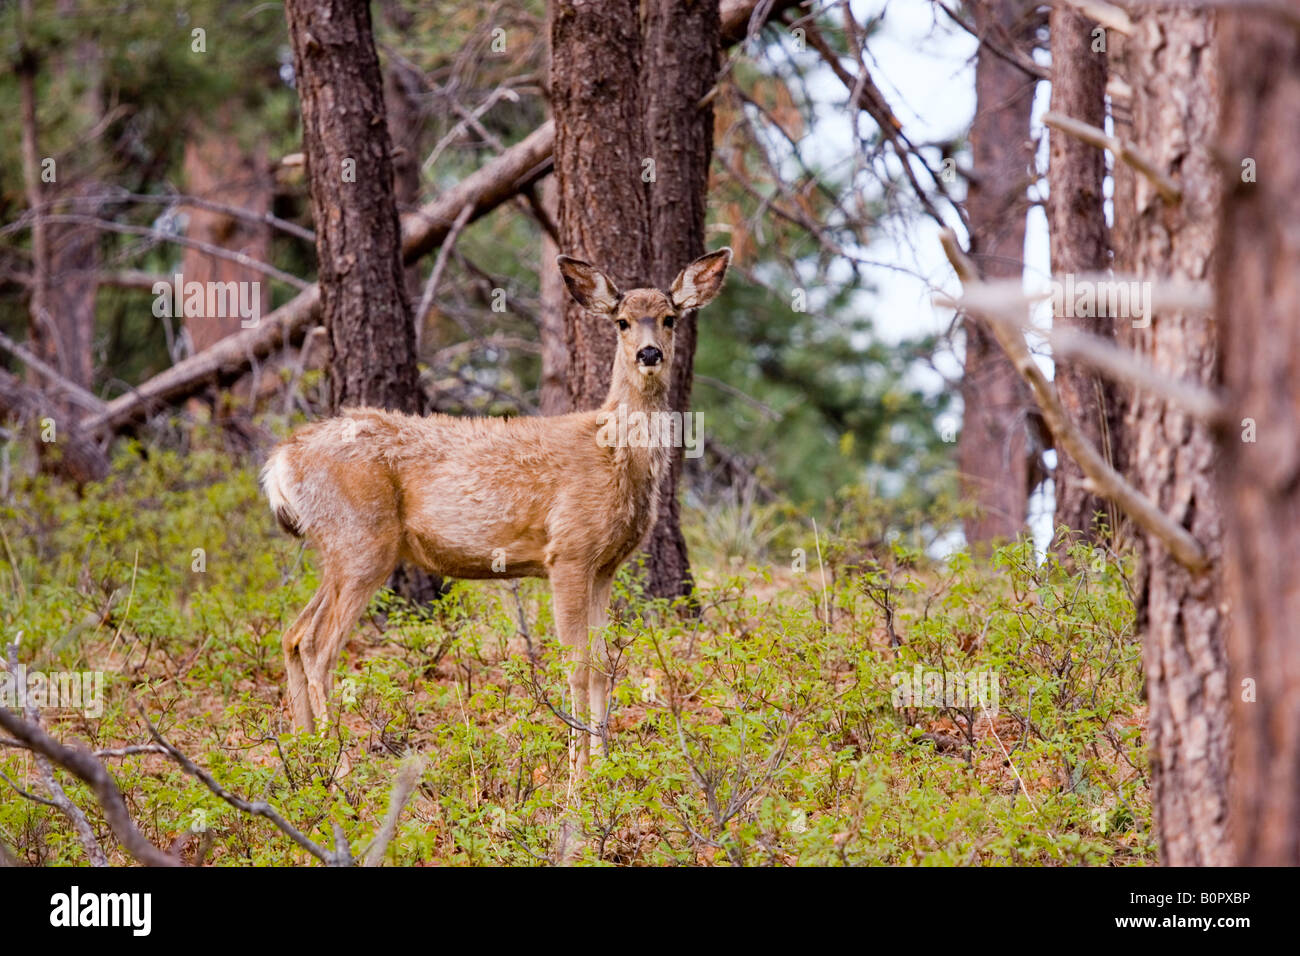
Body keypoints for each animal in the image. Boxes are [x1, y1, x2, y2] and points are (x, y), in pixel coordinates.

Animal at [261, 247, 732, 769]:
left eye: (670, 318)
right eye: (623, 321)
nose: (649, 354)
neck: (614, 455)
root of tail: (281, 460)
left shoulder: (606, 564)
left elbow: (604, 665)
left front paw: (605, 763)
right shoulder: (568, 552)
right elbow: (577, 666)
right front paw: (580, 775)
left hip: (339, 548)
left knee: (293, 634)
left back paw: (306, 755)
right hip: (361, 539)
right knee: (319, 646)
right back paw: (341, 767)